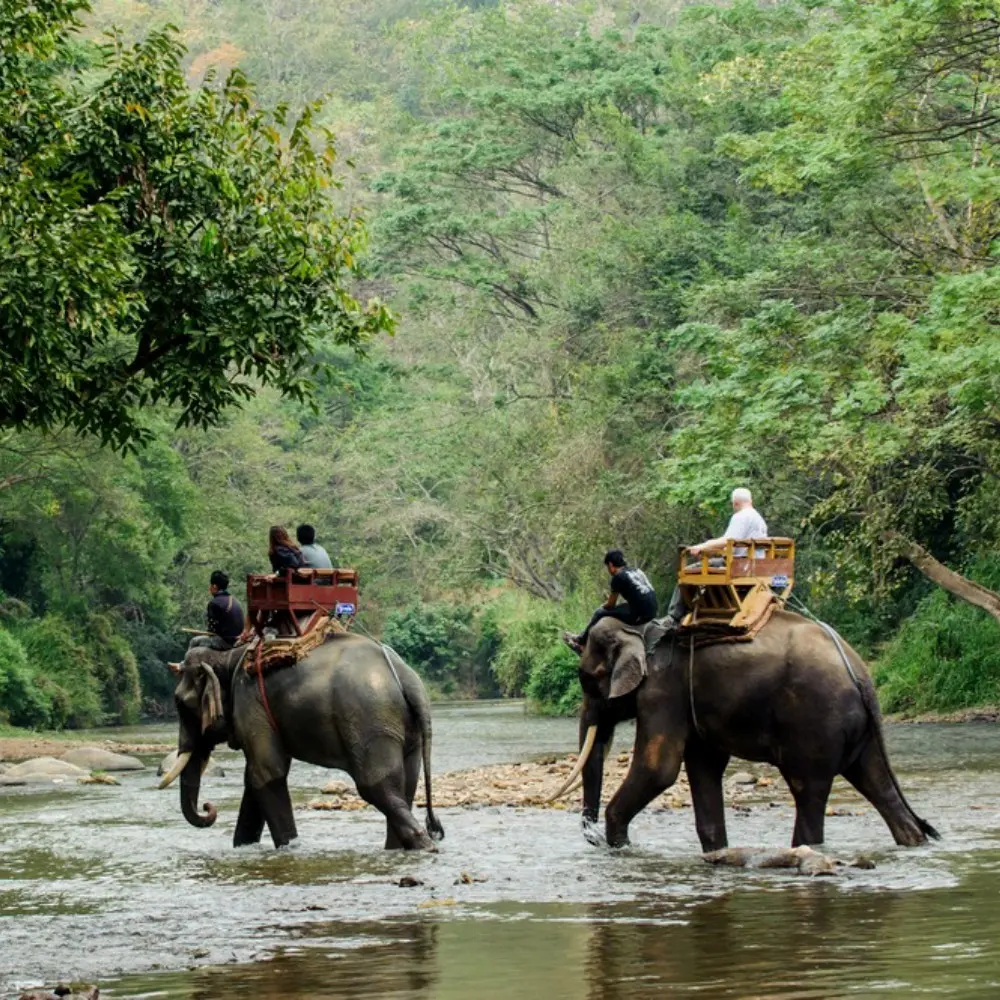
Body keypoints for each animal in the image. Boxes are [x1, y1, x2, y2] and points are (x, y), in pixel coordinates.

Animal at [158, 632, 444, 850]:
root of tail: (407, 678)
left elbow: (266, 773)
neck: (230, 655)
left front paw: (289, 848)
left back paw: (425, 846)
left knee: (376, 787)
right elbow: (255, 778)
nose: (208, 807)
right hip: (404, 729)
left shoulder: (251, 704)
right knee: (404, 785)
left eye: (180, 704)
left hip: (370, 721)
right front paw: (244, 847)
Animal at [558, 611, 937, 851]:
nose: (592, 836)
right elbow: (704, 766)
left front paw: (621, 846)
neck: (638, 628)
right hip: (862, 732)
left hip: (814, 723)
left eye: (587, 680)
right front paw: (716, 852)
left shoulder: (662, 693)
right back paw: (912, 841)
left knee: (808, 790)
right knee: (877, 783)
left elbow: (658, 770)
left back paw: (805, 849)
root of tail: (861, 674)